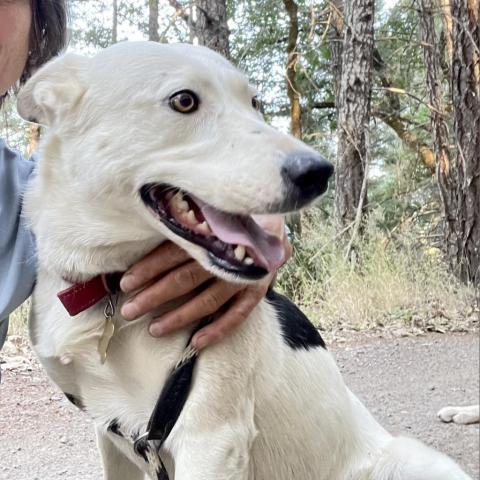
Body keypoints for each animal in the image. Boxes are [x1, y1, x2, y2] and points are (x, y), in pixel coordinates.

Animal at [16, 42, 470, 480]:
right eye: (183, 100)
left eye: (254, 103)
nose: (319, 173)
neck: (112, 288)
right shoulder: (110, 432)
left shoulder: (211, 437)